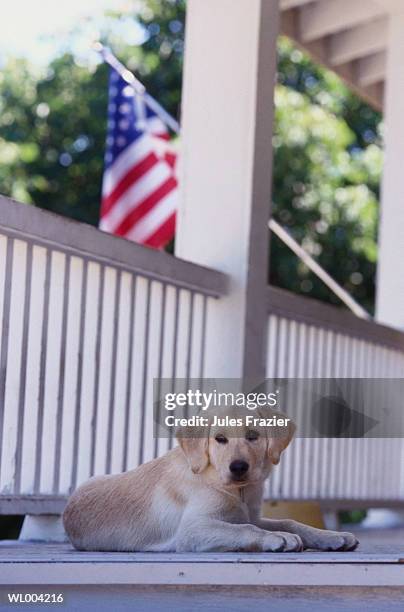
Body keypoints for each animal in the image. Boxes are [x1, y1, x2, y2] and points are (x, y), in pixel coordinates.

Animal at [62, 406, 356, 556]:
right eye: (220, 439)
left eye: (253, 436)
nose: (238, 467)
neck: (237, 491)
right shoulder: (192, 530)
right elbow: (246, 530)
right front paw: (277, 538)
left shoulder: (247, 514)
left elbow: (289, 521)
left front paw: (331, 536)